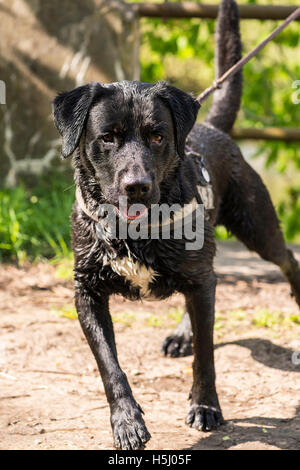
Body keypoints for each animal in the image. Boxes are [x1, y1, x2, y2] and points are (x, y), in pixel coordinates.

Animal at [53, 0, 300, 450]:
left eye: (156, 136)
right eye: (107, 137)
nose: (136, 186)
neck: (134, 232)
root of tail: (213, 126)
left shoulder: (199, 281)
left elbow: (206, 355)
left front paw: (205, 407)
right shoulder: (86, 291)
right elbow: (109, 365)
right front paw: (126, 421)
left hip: (255, 226)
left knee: (288, 259)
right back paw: (181, 333)